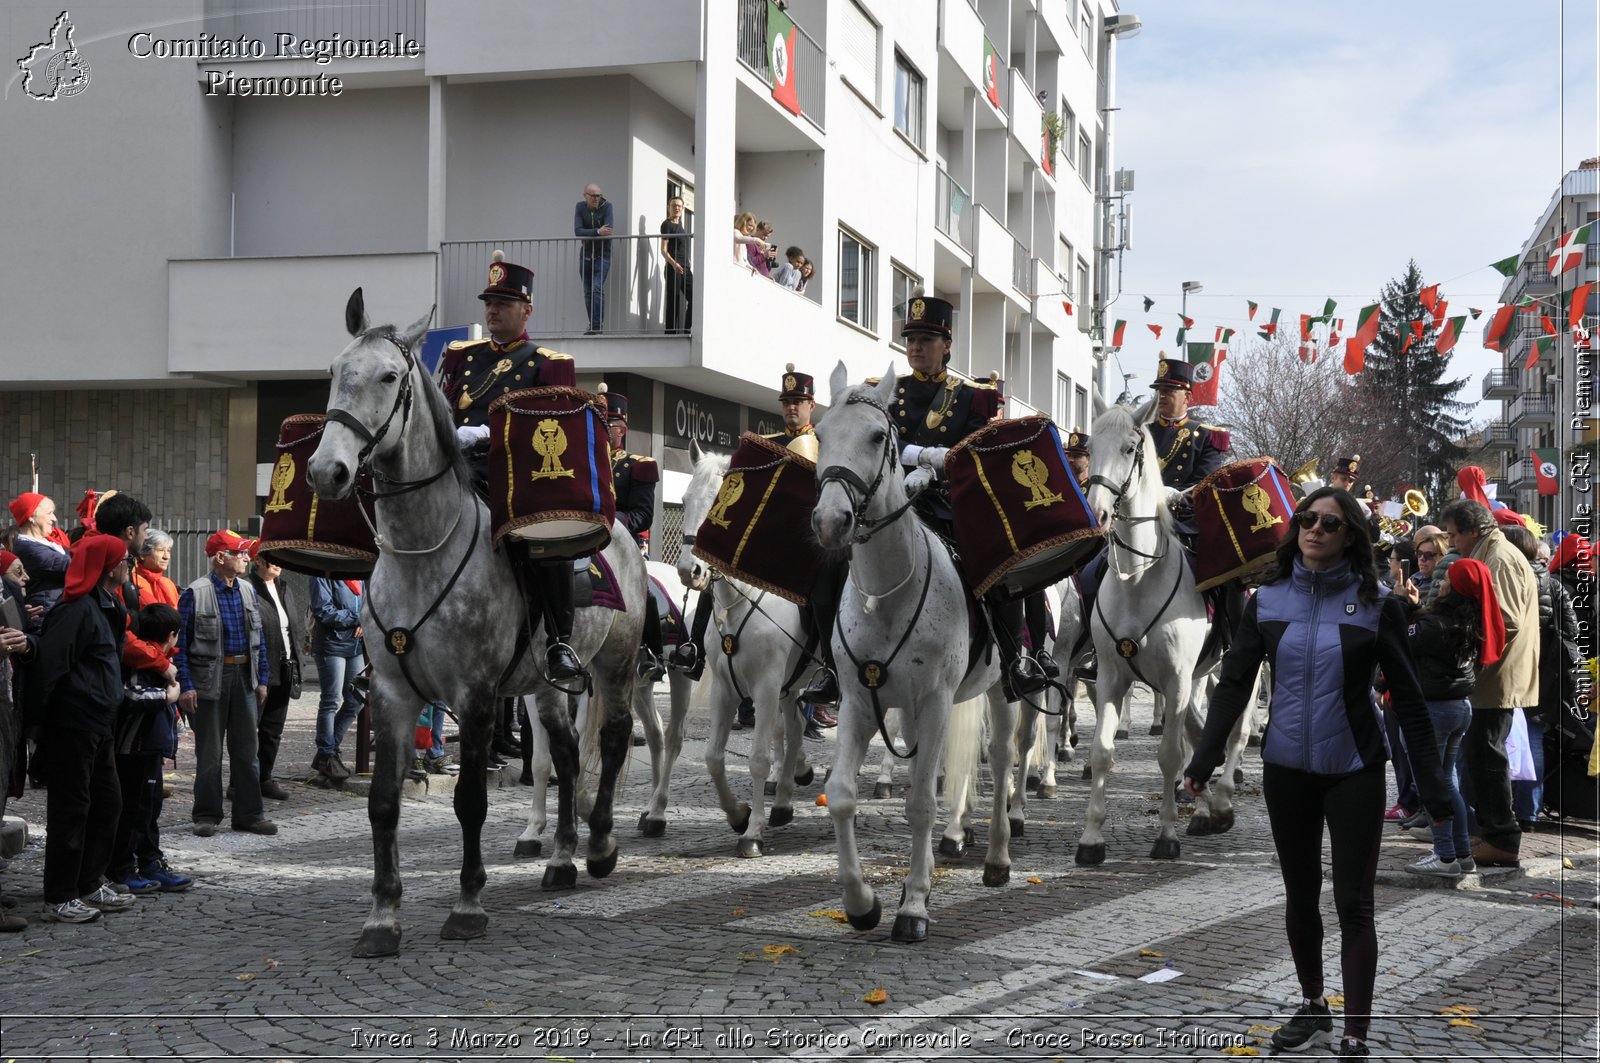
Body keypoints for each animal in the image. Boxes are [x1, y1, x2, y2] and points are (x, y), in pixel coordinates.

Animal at [305, 288, 643, 954]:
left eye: (389, 376)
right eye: (334, 370)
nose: (326, 471)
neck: (420, 553)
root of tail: (620, 531)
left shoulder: (477, 695)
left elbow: (469, 801)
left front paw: (467, 904)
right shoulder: (392, 693)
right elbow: (383, 803)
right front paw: (382, 917)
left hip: (614, 666)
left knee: (613, 741)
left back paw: (599, 845)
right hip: (544, 685)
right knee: (565, 755)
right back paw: (560, 858)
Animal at [678, 438, 819, 858]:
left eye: (718, 503)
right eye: (685, 499)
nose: (689, 571)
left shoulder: (766, 686)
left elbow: (757, 759)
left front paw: (752, 831)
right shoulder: (727, 688)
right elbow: (712, 756)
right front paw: (738, 814)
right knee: (794, 727)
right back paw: (787, 795)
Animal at [812, 361, 1011, 941]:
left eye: (879, 437)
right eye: (820, 433)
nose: (830, 522)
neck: (886, 593)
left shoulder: (936, 700)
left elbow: (922, 803)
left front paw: (915, 906)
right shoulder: (859, 701)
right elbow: (842, 794)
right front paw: (862, 903)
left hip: (1005, 691)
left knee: (1003, 759)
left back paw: (997, 858)